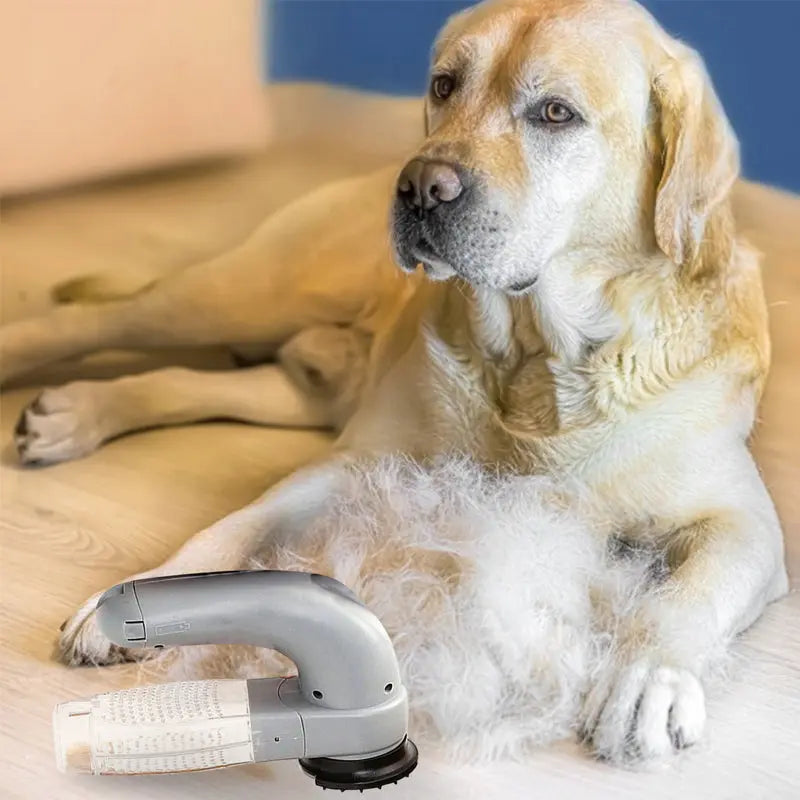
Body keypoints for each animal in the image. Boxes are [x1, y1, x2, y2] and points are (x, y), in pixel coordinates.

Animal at [0, 0, 788, 764]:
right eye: (445, 85)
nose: (420, 186)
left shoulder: (745, 524)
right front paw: (126, 604)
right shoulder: (355, 465)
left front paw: (645, 681)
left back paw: (75, 413)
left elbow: (684, 597)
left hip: (312, 375)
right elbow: (234, 523)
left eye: (556, 112)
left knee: (210, 381)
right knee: (93, 321)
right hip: (246, 292)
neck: (535, 357)